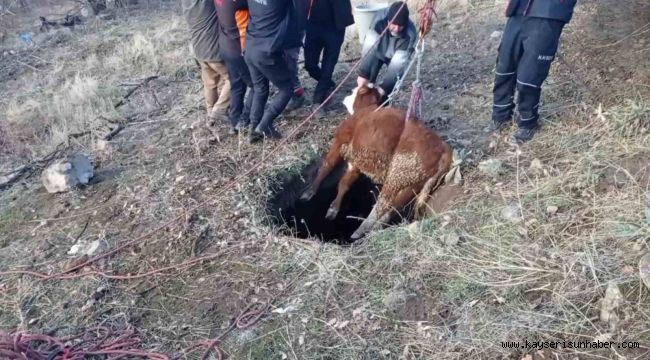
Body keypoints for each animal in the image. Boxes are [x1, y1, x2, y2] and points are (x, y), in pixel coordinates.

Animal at [298, 85, 450, 239]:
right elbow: (344, 183)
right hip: (413, 184)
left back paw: (360, 231)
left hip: (397, 175)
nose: (345, 97)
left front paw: (309, 192)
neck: (367, 110)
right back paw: (375, 229)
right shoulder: (357, 162)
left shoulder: (340, 142)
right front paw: (333, 209)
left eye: (354, 91)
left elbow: (326, 166)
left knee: (382, 204)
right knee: (394, 207)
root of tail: (444, 148)